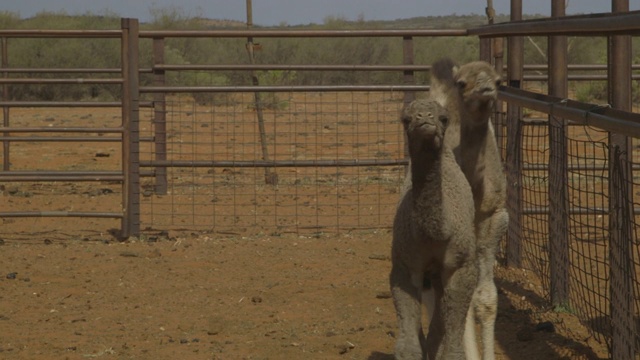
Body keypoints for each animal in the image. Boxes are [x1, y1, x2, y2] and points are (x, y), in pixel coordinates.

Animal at [390, 98, 480, 360]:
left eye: (443, 118)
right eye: (406, 119)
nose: (424, 119)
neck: (435, 233)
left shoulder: (462, 264)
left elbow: (453, 343)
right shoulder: (405, 263)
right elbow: (408, 346)